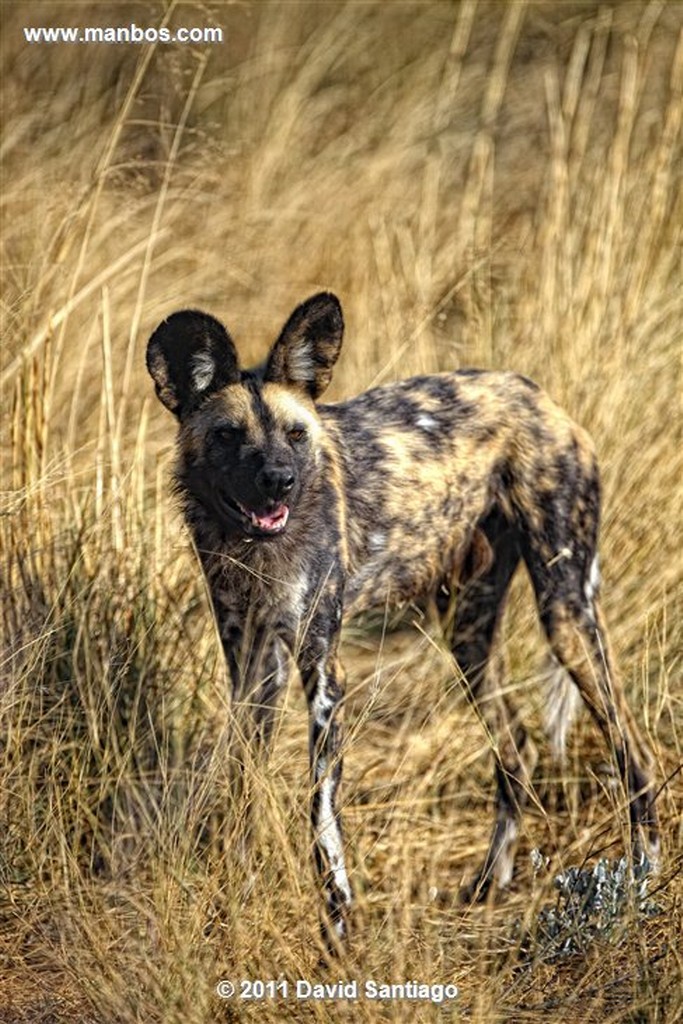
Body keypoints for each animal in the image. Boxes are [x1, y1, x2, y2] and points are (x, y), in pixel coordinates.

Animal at [147, 292, 659, 946]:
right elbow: (241, 790)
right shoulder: (255, 670)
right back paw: (488, 883)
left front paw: (338, 922)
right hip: (468, 631)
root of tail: (538, 396)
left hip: (565, 616)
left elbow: (319, 809)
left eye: (296, 434)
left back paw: (640, 888)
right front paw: (228, 903)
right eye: (228, 435)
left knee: (635, 757)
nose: (278, 481)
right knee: (516, 748)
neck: (256, 550)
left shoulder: (322, 672)